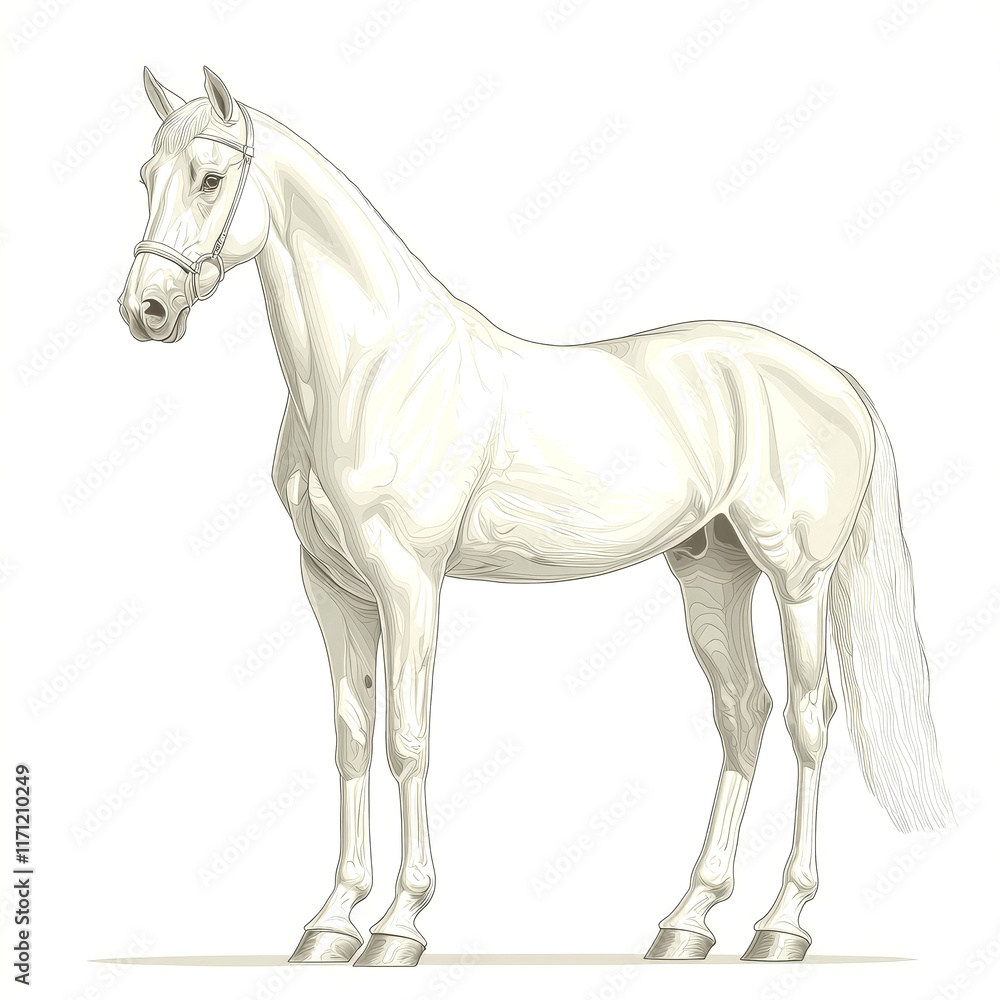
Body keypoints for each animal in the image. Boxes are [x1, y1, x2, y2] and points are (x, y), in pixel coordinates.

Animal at [118, 67, 953, 967]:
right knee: (744, 713)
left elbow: (406, 738)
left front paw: (399, 925)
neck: (375, 368)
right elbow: (350, 740)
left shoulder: (409, 582)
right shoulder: (333, 588)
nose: (147, 310)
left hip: (798, 577)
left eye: (209, 178)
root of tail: (834, 377)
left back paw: (782, 925)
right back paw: (687, 922)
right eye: (145, 176)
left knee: (807, 719)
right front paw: (329, 923)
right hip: (713, 572)